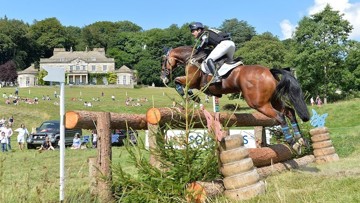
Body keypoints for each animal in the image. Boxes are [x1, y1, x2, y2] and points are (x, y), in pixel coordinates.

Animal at [160, 45, 310, 152]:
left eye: (163, 61)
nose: (163, 78)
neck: (191, 58)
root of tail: (269, 72)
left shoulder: (192, 80)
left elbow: (178, 82)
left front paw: (194, 97)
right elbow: (179, 83)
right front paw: (193, 97)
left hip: (258, 103)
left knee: (280, 116)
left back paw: (292, 142)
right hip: (275, 99)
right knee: (289, 112)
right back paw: (300, 140)